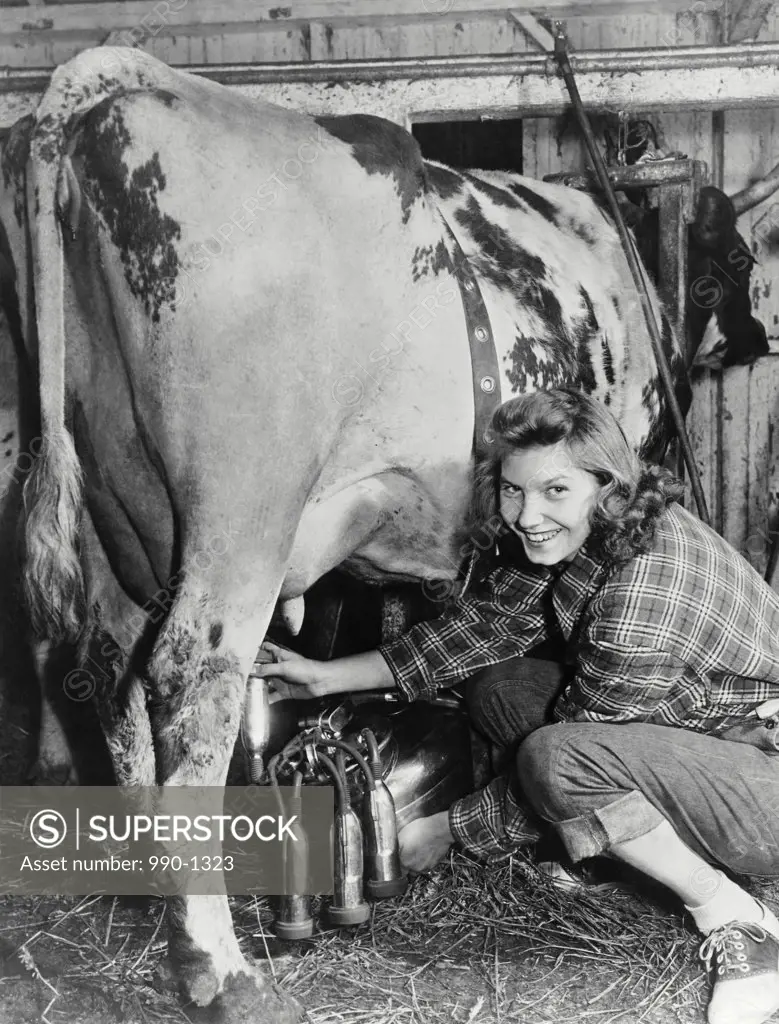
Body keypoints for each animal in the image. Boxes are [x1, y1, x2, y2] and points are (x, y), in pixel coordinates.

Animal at [1, 48, 777, 1024]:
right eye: (738, 257)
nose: (757, 338)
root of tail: (120, 77)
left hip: (112, 528)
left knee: (110, 674)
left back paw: (152, 896)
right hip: (241, 512)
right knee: (188, 681)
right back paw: (221, 971)